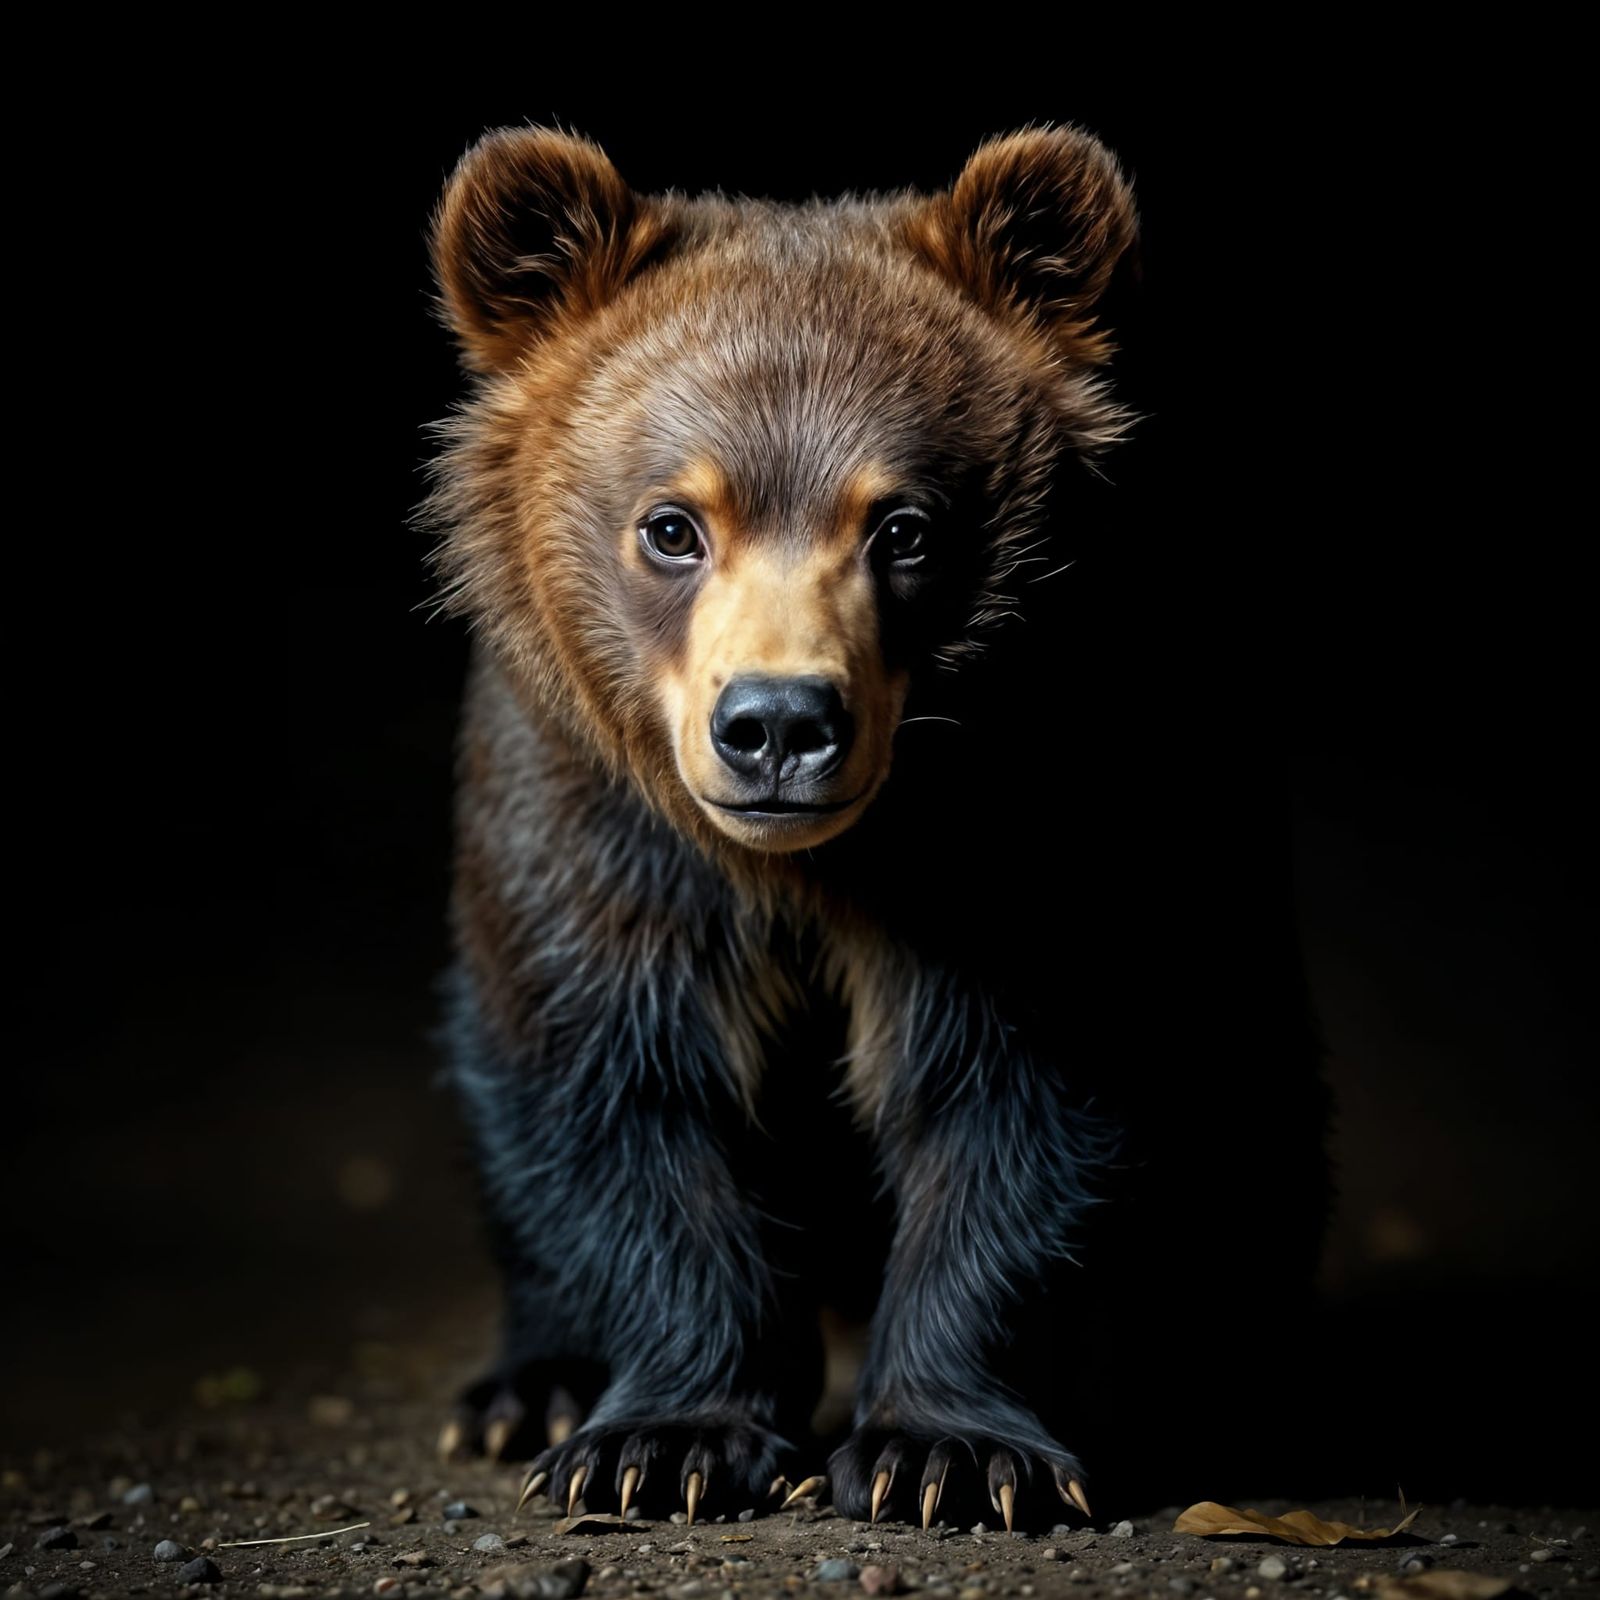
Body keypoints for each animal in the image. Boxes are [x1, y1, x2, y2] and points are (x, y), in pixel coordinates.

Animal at [415, 120, 1334, 1530]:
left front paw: (948, 1450)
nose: (778, 721)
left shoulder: (1038, 817)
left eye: (903, 525)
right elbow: (618, 1090)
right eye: (671, 525)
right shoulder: (590, 822)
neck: (812, 868)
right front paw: (659, 1440)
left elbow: (1021, 1102)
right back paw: (532, 1387)